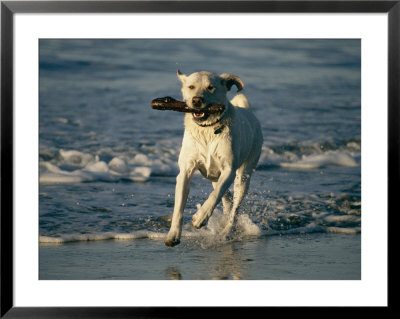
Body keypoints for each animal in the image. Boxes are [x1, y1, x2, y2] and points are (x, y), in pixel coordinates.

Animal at [163, 72, 262, 248]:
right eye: (191, 87)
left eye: (211, 87)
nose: (196, 100)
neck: (207, 130)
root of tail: (248, 111)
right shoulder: (185, 172)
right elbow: (178, 207)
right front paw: (173, 235)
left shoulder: (229, 170)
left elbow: (215, 196)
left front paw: (201, 217)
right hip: (214, 176)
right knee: (227, 200)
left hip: (244, 175)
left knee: (235, 207)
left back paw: (227, 232)